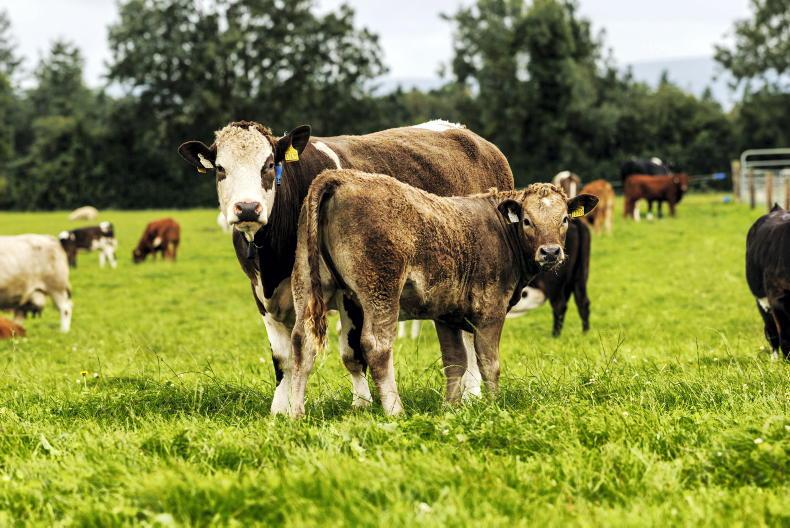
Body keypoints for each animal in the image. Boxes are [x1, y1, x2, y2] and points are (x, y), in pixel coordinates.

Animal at [178, 119, 514, 414]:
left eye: (269, 164)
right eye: (221, 169)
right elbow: (283, 358)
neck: (272, 256)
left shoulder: (349, 294)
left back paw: (472, 395)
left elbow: (352, 353)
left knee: (470, 336)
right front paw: (280, 409)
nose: (247, 208)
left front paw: (362, 404)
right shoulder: (263, 295)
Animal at [288, 171, 597, 417]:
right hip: (381, 291)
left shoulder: (446, 315)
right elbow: (489, 363)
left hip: (305, 281)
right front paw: (495, 405)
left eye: (564, 219)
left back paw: (295, 413)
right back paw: (395, 410)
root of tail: (339, 178)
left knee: (302, 342)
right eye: (527, 220)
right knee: (377, 346)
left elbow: (455, 361)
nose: (551, 252)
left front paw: (451, 407)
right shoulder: (490, 311)